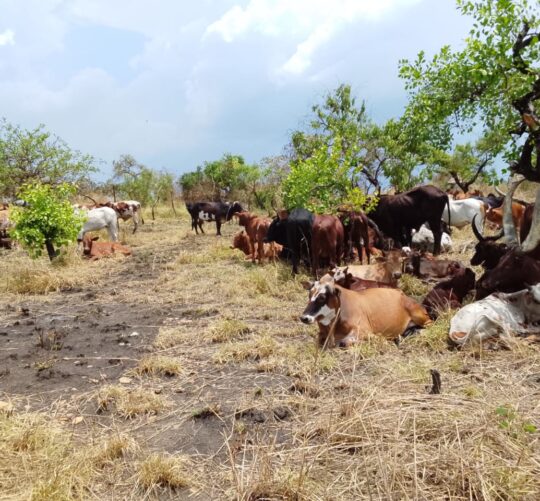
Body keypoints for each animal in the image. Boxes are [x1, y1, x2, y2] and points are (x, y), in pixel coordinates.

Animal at [300, 281, 431, 348]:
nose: (304, 318)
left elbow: (344, 342)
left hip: (420, 316)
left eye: (322, 297)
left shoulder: (363, 330)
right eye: (309, 295)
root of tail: (401, 293)